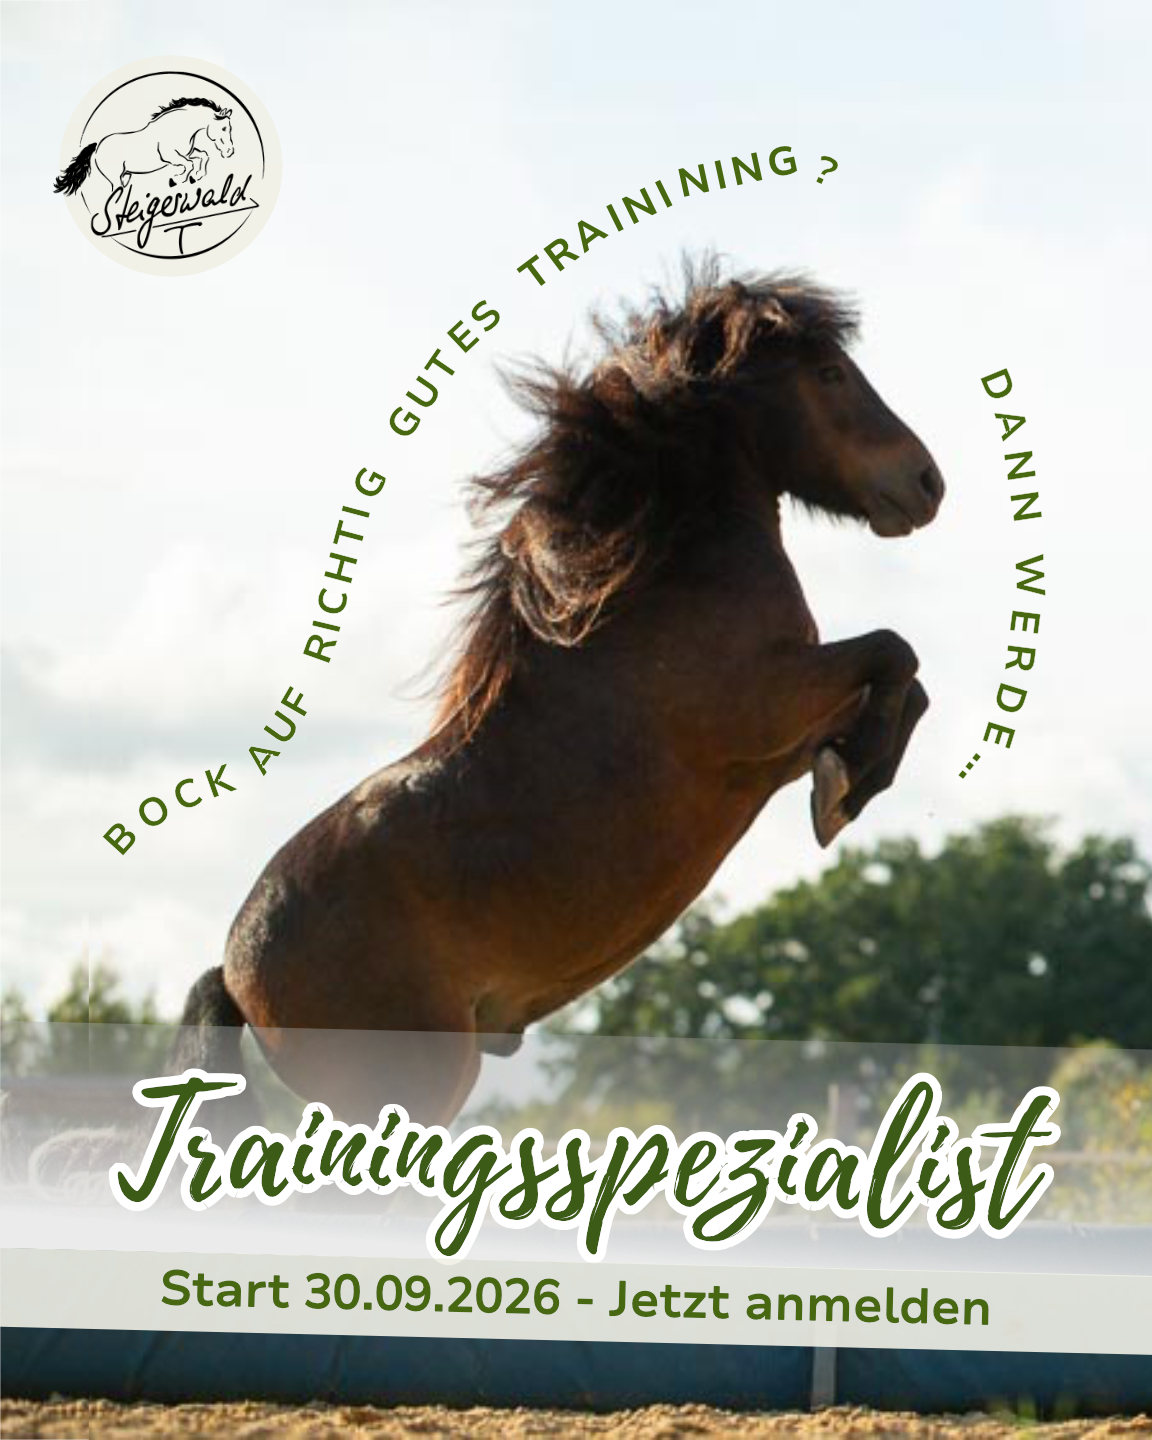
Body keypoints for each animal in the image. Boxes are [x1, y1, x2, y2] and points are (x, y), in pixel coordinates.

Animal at [53, 98, 234, 200]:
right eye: (224, 128)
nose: (230, 151)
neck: (177, 128)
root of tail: (97, 146)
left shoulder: (187, 153)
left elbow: (203, 156)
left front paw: (196, 177)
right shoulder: (171, 157)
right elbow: (189, 164)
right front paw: (175, 180)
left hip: (125, 176)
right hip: (115, 178)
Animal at [172, 259, 944, 1133]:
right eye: (829, 374)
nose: (926, 482)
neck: (666, 580)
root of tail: (235, 975)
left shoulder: (782, 744)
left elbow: (906, 688)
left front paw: (845, 784)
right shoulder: (762, 710)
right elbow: (894, 651)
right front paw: (843, 790)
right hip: (407, 1087)